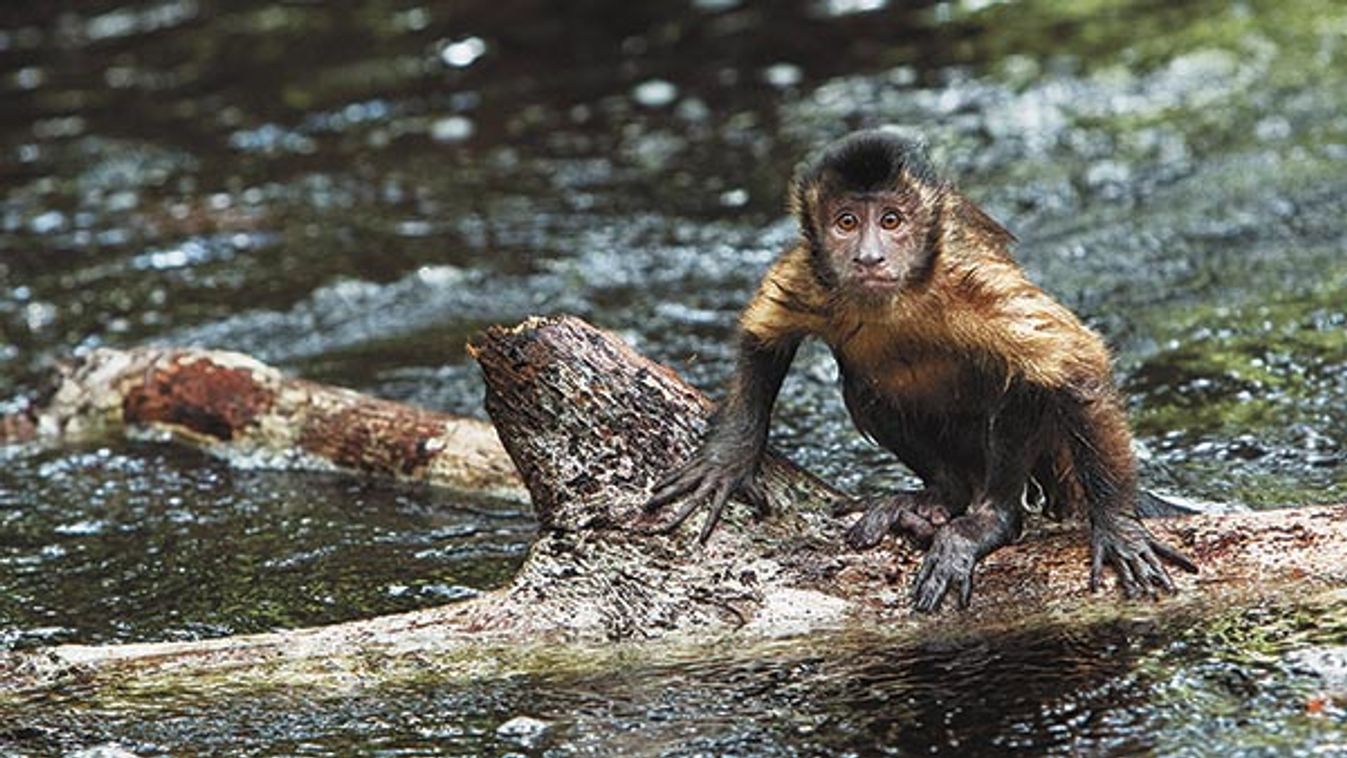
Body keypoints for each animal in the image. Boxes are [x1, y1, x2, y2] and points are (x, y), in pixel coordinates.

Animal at [643, 130, 1201, 613]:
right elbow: (763, 335)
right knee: (866, 387)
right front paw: (728, 460)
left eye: (891, 220)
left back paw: (992, 520)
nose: (870, 256)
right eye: (847, 222)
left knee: (1021, 379)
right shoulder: (811, 270)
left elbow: (1075, 363)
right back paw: (940, 499)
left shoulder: (968, 278)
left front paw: (1119, 529)